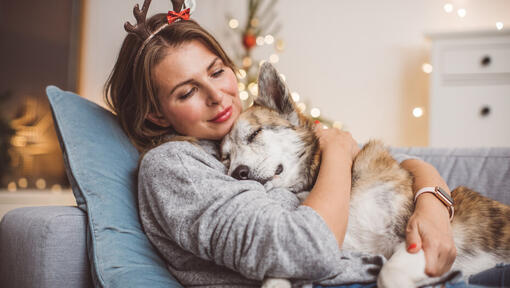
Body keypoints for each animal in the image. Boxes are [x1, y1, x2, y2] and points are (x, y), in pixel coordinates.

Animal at [221, 62, 510, 286]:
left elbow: (390, 274)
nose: (237, 172)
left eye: (255, 133)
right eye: (225, 157)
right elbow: (278, 273)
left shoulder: (417, 240)